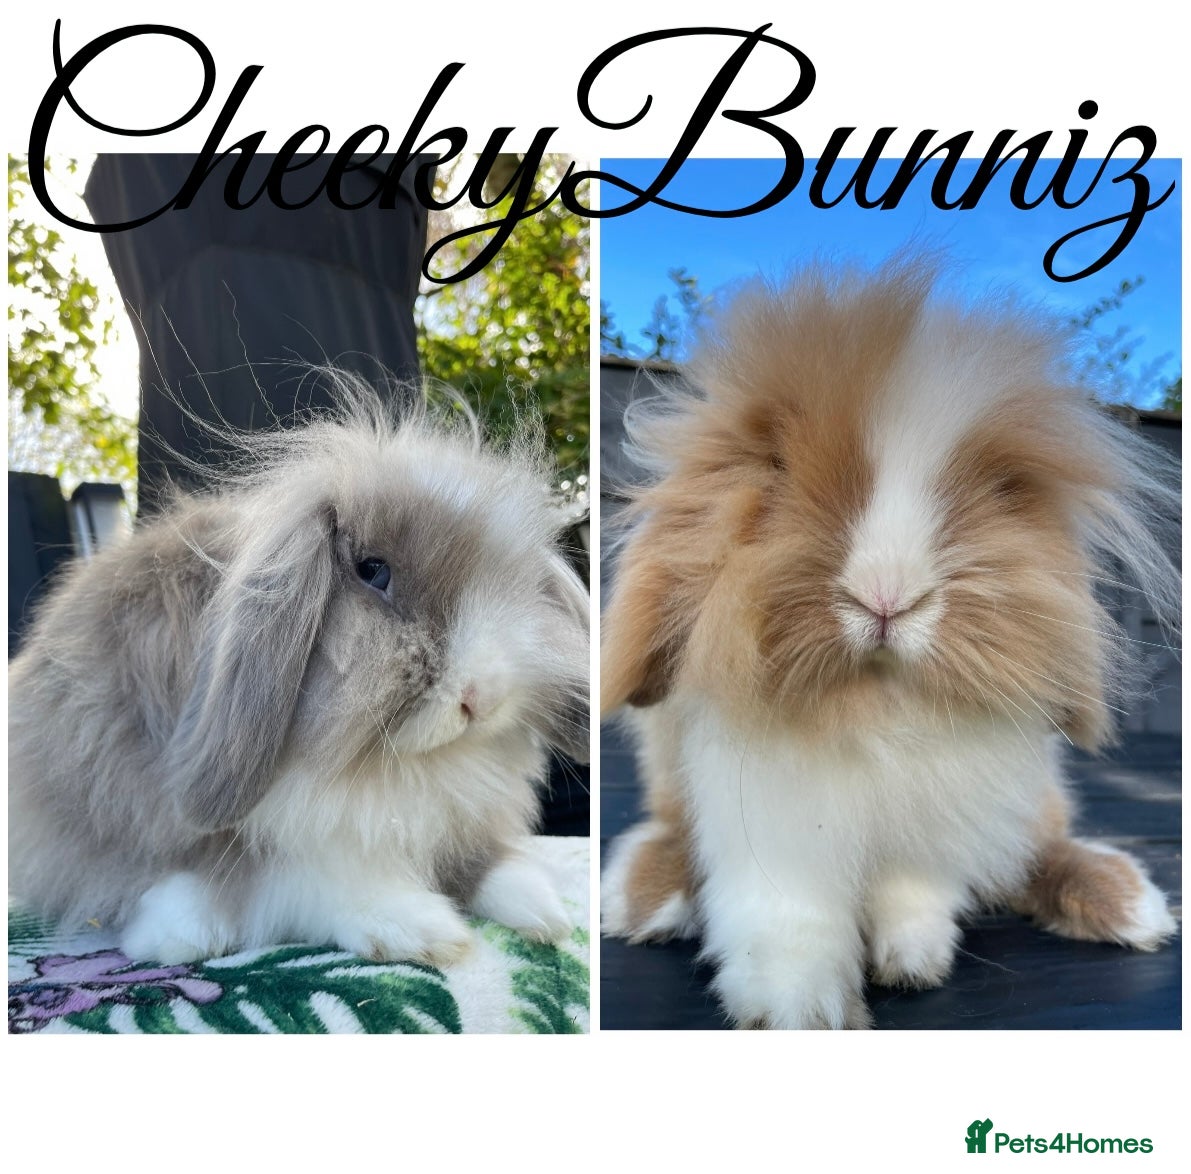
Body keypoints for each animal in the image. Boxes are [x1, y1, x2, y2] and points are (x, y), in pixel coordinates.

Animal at [8, 375, 590, 967]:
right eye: (371, 571)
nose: (482, 695)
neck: (396, 770)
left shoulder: (456, 815)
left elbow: (484, 860)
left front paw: (543, 910)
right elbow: (312, 882)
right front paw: (420, 927)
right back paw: (182, 931)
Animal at [600, 258, 1179, 1029]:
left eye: (1000, 490)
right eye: (776, 467)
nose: (886, 595)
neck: (871, 707)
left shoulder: (937, 818)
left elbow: (915, 893)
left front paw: (911, 961)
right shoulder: (772, 829)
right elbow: (789, 922)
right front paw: (802, 1011)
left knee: (1036, 852)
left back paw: (1133, 906)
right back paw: (644, 902)